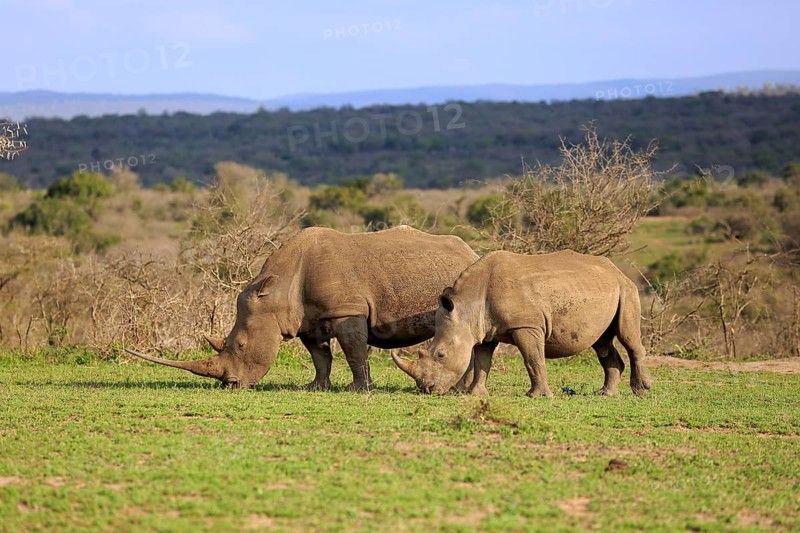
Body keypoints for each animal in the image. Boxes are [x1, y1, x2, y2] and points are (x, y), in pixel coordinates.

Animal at [127, 226, 478, 390]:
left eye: (240, 345)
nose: (231, 384)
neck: (278, 290)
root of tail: (471, 252)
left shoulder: (346, 310)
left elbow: (354, 351)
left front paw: (358, 390)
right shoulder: (307, 319)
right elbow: (320, 356)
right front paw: (316, 387)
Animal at [393, 250, 653, 396]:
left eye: (441, 355)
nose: (426, 390)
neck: (467, 305)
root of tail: (617, 270)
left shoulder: (526, 326)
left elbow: (532, 359)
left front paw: (537, 396)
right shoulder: (484, 331)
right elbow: (482, 362)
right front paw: (475, 394)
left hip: (626, 290)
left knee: (628, 337)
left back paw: (641, 390)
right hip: (603, 289)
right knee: (602, 343)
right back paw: (605, 394)